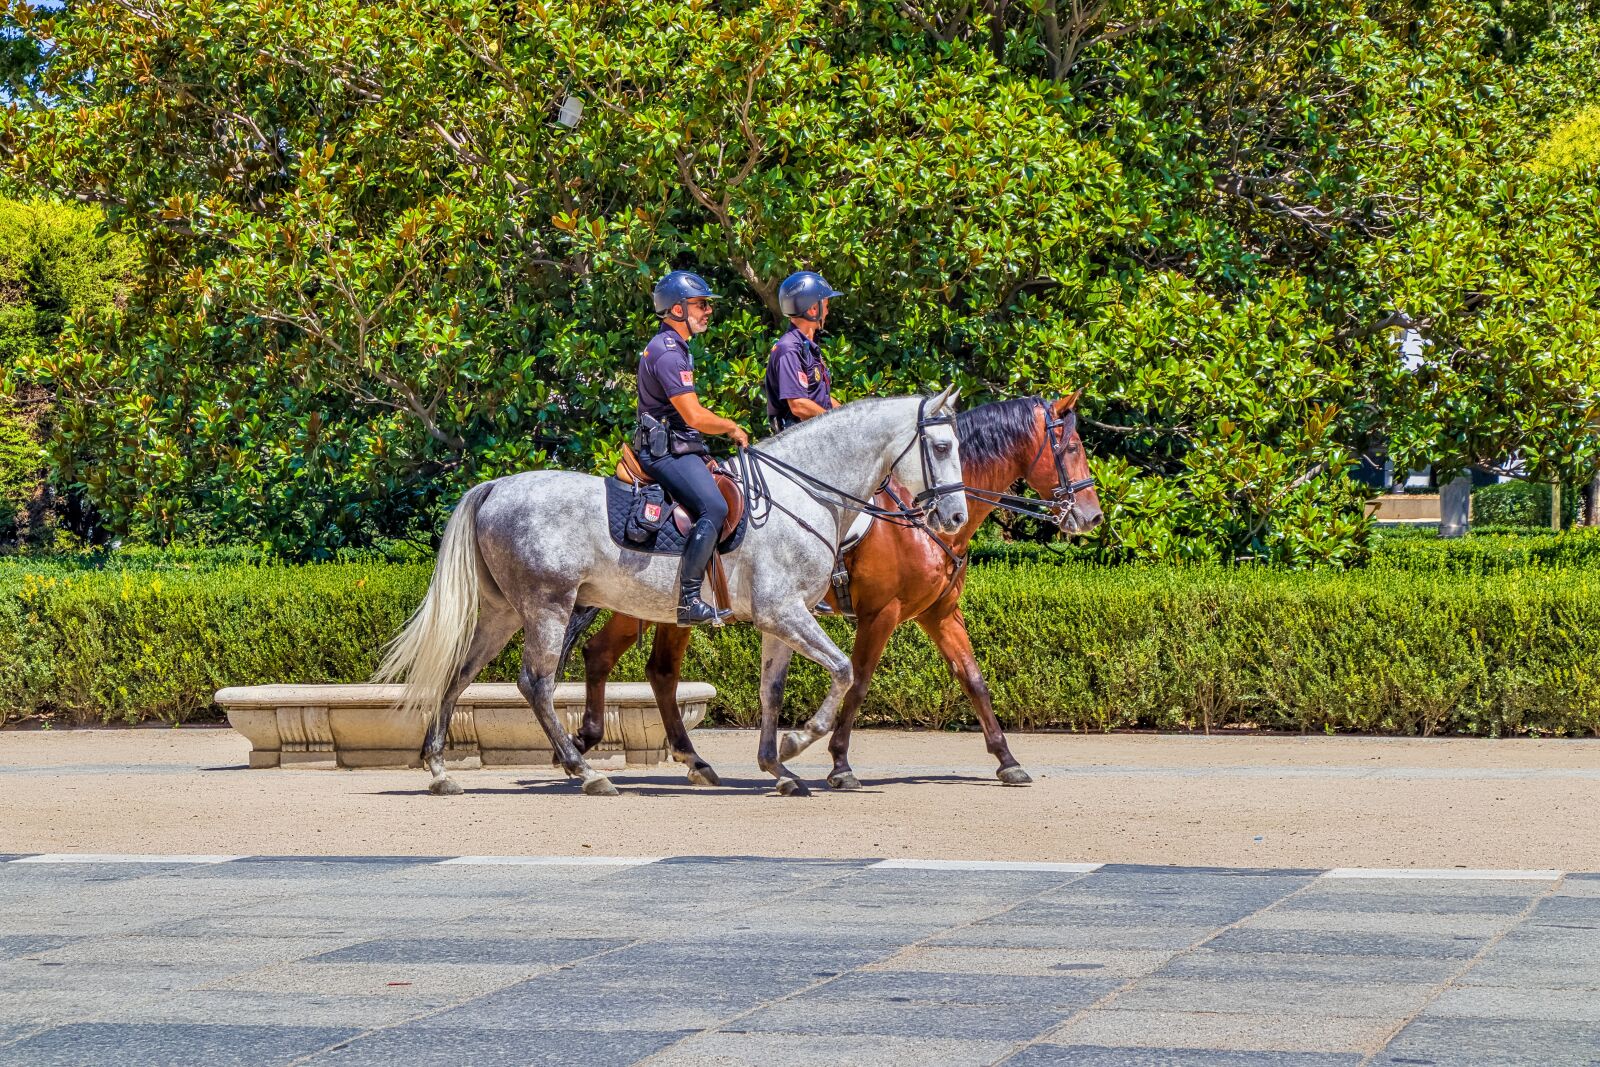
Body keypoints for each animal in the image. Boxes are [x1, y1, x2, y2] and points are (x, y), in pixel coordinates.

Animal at [374, 388, 966, 796]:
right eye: (941, 446)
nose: (956, 517)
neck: (804, 494)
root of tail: (496, 486)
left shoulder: (782, 620)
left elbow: (772, 691)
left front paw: (778, 766)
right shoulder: (787, 612)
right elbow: (844, 671)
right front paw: (801, 743)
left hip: (503, 614)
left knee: (460, 674)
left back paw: (440, 770)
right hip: (548, 607)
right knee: (536, 683)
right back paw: (585, 771)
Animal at [576, 391, 1100, 783]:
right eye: (1072, 447)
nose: (1092, 516)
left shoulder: (939, 612)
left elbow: (972, 678)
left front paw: (1007, 759)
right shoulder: (881, 613)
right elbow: (859, 680)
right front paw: (839, 761)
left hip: (658, 611)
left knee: (640, 666)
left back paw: (657, 754)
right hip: (646, 606)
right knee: (621, 660)